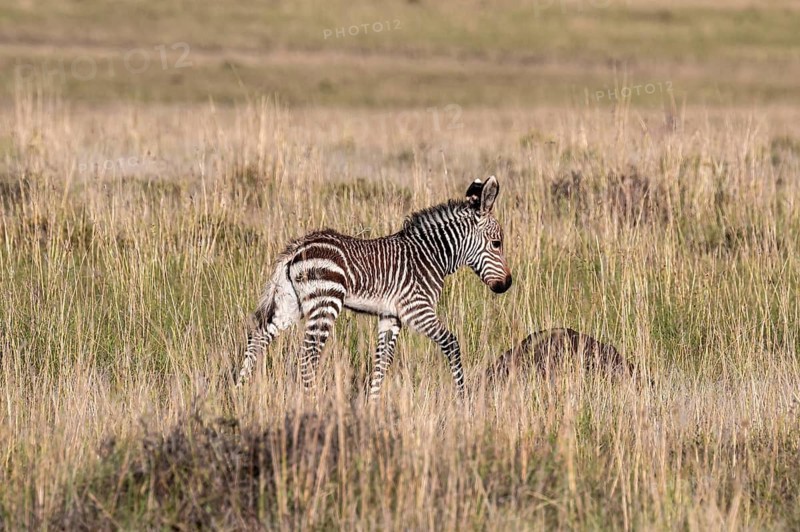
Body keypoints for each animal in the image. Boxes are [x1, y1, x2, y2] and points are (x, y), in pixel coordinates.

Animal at [237, 175, 512, 400]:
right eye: (496, 244)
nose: (507, 284)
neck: (430, 256)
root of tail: (296, 248)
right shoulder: (417, 310)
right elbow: (452, 344)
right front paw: (463, 399)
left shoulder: (390, 316)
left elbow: (382, 362)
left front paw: (374, 405)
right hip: (325, 303)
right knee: (307, 358)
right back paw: (312, 402)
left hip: (290, 303)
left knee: (258, 336)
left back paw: (239, 391)